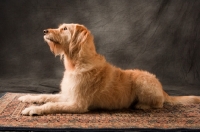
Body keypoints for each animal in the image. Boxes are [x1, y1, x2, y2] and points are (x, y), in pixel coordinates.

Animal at [18, 23, 200, 115]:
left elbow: (51, 105)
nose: (44, 31)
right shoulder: (67, 95)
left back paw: (142, 105)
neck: (76, 63)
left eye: (65, 28)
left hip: (142, 81)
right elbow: (46, 96)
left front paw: (33, 109)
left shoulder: (78, 104)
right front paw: (27, 97)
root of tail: (162, 88)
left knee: (159, 104)